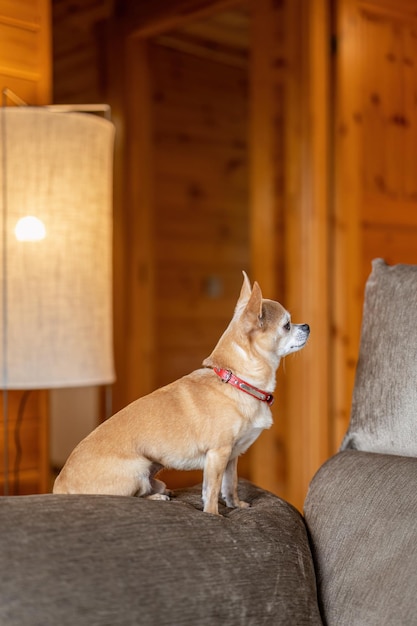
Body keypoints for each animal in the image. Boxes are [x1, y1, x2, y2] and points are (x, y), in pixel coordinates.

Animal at [53, 272, 308, 512]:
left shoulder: (231, 456)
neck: (236, 381)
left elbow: (230, 484)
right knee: (129, 497)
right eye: (287, 325)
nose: (306, 326)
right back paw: (158, 498)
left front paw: (236, 505)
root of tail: (59, 485)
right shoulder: (218, 453)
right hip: (138, 467)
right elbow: (212, 490)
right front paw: (214, 515)